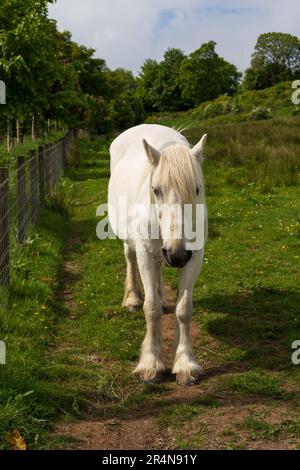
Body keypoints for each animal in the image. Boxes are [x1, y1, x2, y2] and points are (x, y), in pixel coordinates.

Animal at [108, 125, 209, 386]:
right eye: (156, 190)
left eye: (196, 189)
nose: (177, 255)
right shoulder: (145, 253)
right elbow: (151, 308)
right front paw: (150, 364)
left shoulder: (194, 257)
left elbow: (184, 309)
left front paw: (185, 364)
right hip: (132, 243)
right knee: (129, 257)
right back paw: (133, 298)